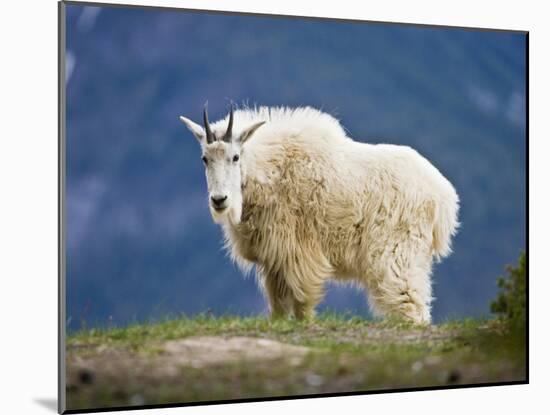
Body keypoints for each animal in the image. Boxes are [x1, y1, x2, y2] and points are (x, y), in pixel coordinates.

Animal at [179, 105, 460, 324]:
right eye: (205, 158)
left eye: (235, 157)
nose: (219, 200)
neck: (269, 172)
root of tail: (442, 195)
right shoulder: (273, 259)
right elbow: (278, 306)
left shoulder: (298, 253)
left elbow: (302, 302)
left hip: (397, 251)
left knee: (411, 306)